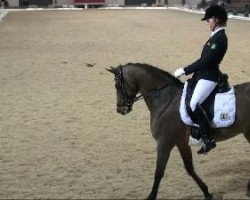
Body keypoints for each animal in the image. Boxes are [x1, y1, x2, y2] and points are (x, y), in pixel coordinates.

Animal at [106, 62, 250, 200]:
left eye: (117, 85)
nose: (120, 109)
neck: (166, 100)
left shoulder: (164, 142)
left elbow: (159, 171)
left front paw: (151, 196)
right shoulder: (181, 142)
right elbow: (189, 168)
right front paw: (206, 192)